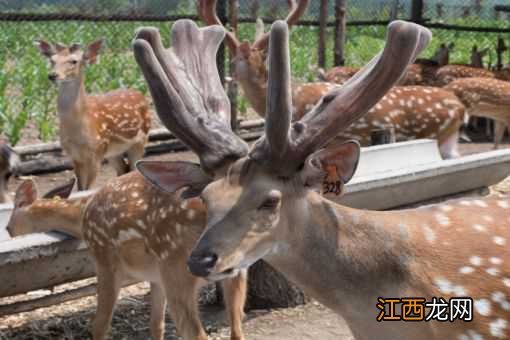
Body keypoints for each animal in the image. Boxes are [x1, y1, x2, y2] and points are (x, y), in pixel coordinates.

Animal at [7, 174, 247, 340]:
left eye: (15, 210)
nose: (8, 229)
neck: (81, 216)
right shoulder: (156, 277)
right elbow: (156, 325)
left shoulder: (104, 259)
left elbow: (99, 325)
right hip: (236, 272)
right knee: (237, 329)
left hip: (177, 266)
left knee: (197, 333)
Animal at [36, 39, 151, 191]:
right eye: (52, 60)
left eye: (74, 61)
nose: (52, 75)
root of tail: (141, 95)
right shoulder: (74, 155)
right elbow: (80, 188)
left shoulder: (96, 152)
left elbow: (88, 189)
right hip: (113, 151)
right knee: (123, 169)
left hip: (141, 140)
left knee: (133, 169)